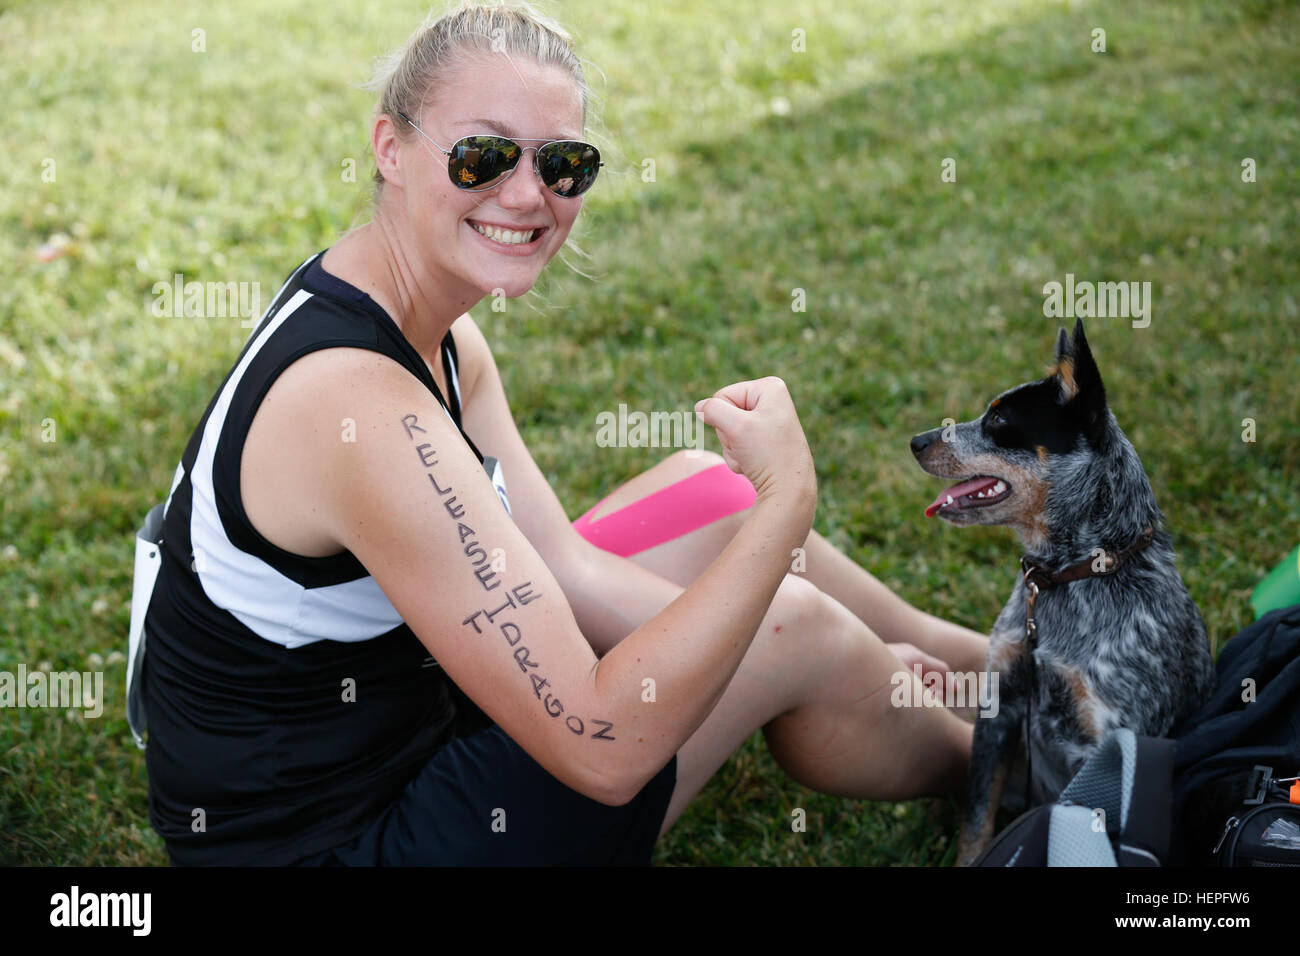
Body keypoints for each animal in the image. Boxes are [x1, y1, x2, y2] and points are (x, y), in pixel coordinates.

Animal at [909, 319, 1211, 868]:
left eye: (999, 419)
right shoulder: (1001, 709)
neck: (1067, 577)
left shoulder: (1104, 744)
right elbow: (976, 824)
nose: (917, 441)